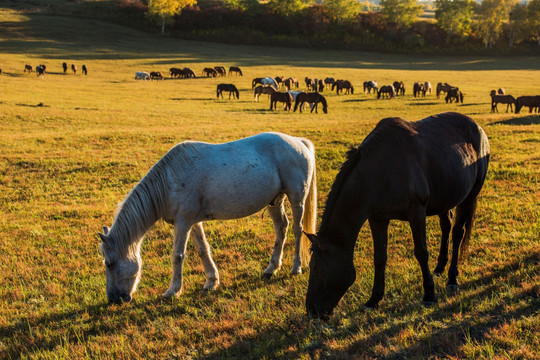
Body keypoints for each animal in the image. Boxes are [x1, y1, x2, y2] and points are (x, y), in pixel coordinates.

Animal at [98, 132, 316, 304]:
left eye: (109, 263)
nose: (113, 299)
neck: (170, 180)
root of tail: (299, 142)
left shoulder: (183, 223)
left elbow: (178, 256)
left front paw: (173, 291)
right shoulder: (192, 222)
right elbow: (203, 249)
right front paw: (211, 281)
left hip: (296, 198)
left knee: (297, 230)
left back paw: (296, 268)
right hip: (274, 201)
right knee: (281, 228)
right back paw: (271, 268)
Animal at [306, 112, 492, 318]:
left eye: (318, 269)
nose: (311, 310)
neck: (380, 172)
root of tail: (477, 127)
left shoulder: (416, 213)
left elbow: (421, 252)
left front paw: (429, 293)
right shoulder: (378, 218)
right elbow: (380, 257)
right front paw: (374, 299)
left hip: (469, 196)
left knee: (458, 233)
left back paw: (452, 277)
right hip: (445, 198)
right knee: (446, 226)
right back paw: (439, 267)